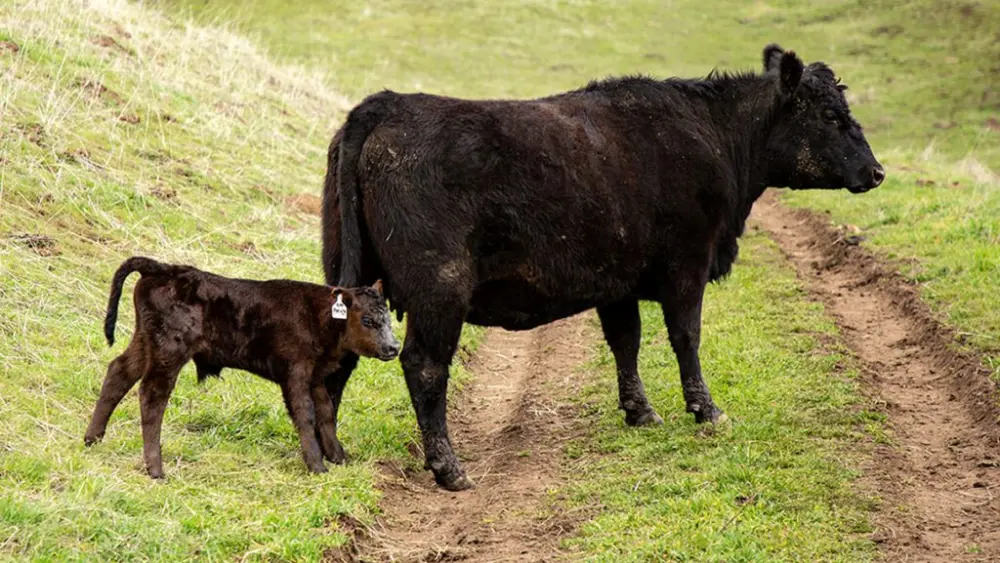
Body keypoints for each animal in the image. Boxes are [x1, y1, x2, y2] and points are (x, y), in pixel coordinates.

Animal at [84, 256, 400, 478]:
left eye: (388, 317)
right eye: (367, 320)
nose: (393, 347)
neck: (318, 315)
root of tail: (163, 268)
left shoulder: (316, 375)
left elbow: (326, 414)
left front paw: (339, 457)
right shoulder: (295, 372)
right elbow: (306, 414)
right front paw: (316, 465)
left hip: (145, 342)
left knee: (119, 371)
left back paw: (92, 439)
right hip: (169, 351)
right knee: (152, 395)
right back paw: (155, 469)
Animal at [320, 44, 884, 491]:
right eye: (830, 116)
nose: (876, 171)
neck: (715, 136)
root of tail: (387, 103)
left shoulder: (619, 281)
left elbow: (625, 341)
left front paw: (641, 411)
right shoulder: (688, 263)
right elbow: (686, 337)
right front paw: (707, 411)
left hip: (349, 279)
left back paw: (332, 454)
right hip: (440, 288)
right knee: (425, 365)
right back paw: (448, 468)